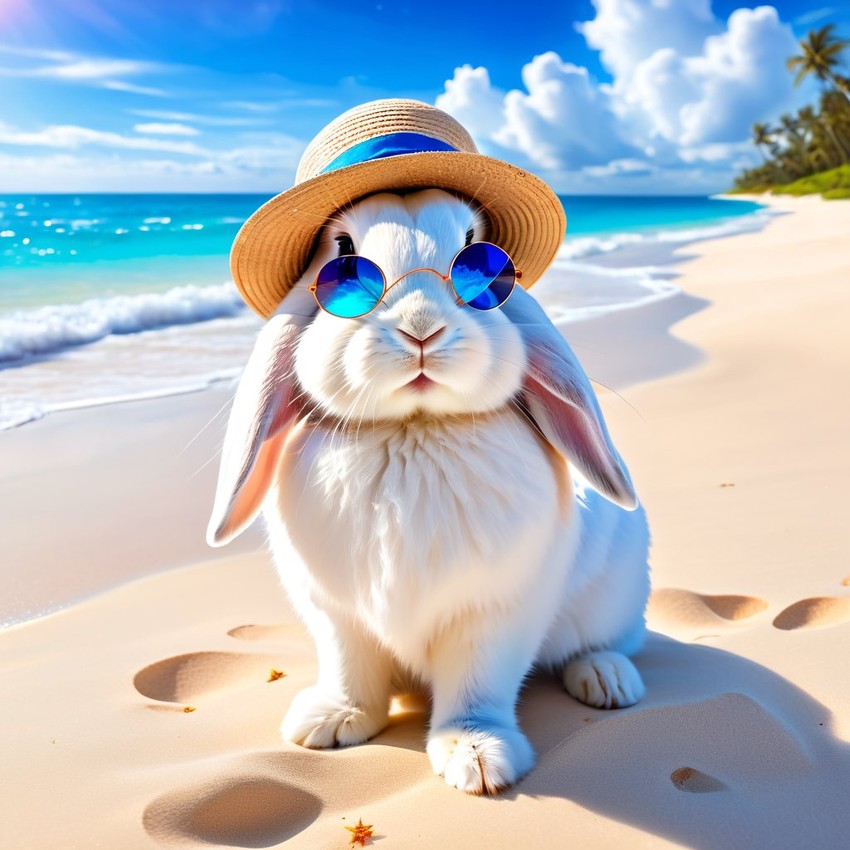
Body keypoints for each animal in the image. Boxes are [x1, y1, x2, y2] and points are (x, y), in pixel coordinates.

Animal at [209, 187, 644, 796]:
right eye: (342, 253)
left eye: (478, 253)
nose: (421, 329)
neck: (411, 429)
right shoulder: (337, 616)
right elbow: (350, 669)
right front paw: (331, 722)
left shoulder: (493, 615)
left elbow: (477, 687)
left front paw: (478, 758)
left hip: (615, 594)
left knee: (607, 643)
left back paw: (607, 680)